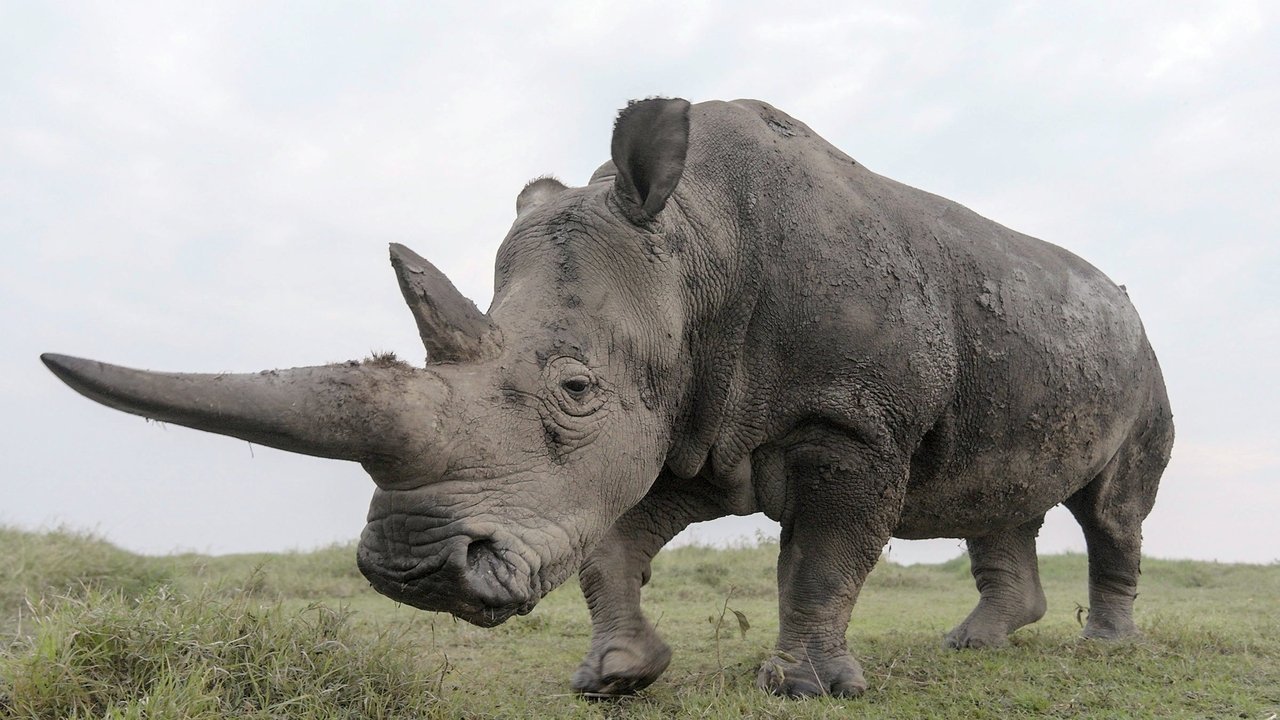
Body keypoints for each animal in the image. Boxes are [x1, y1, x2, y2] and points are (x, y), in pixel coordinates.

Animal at [42, 97, 1174, 699]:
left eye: (574, 387)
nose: (414, 574)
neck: (694, 242)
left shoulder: (845, 418)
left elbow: (820, 558)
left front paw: (807, 688)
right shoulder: (684, 419)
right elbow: (610, 546)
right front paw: (619, 674)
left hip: (1143, 360)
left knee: (1110, 509)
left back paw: (1105, 648)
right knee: (998, 493)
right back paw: (978, 643)